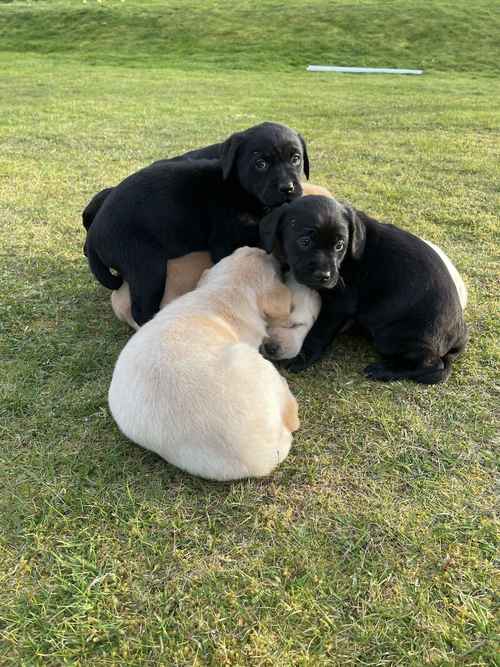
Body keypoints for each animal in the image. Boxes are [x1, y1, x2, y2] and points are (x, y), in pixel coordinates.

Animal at [83, 124, 308, 328]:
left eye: (296, 159)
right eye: (260, 163)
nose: (288, 188)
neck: (238, 187)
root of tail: (93, 234)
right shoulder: (224, 242)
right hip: (146, 265)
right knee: (140, 310)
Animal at [260, 196, 466, 384]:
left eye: (339, 245)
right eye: (304, 241)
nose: (324, 276)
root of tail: (459, 336)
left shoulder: (339, 305)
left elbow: (318, 332)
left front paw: (302, 358)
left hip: (392, 336)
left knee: (432, 364)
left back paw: (383, 370)